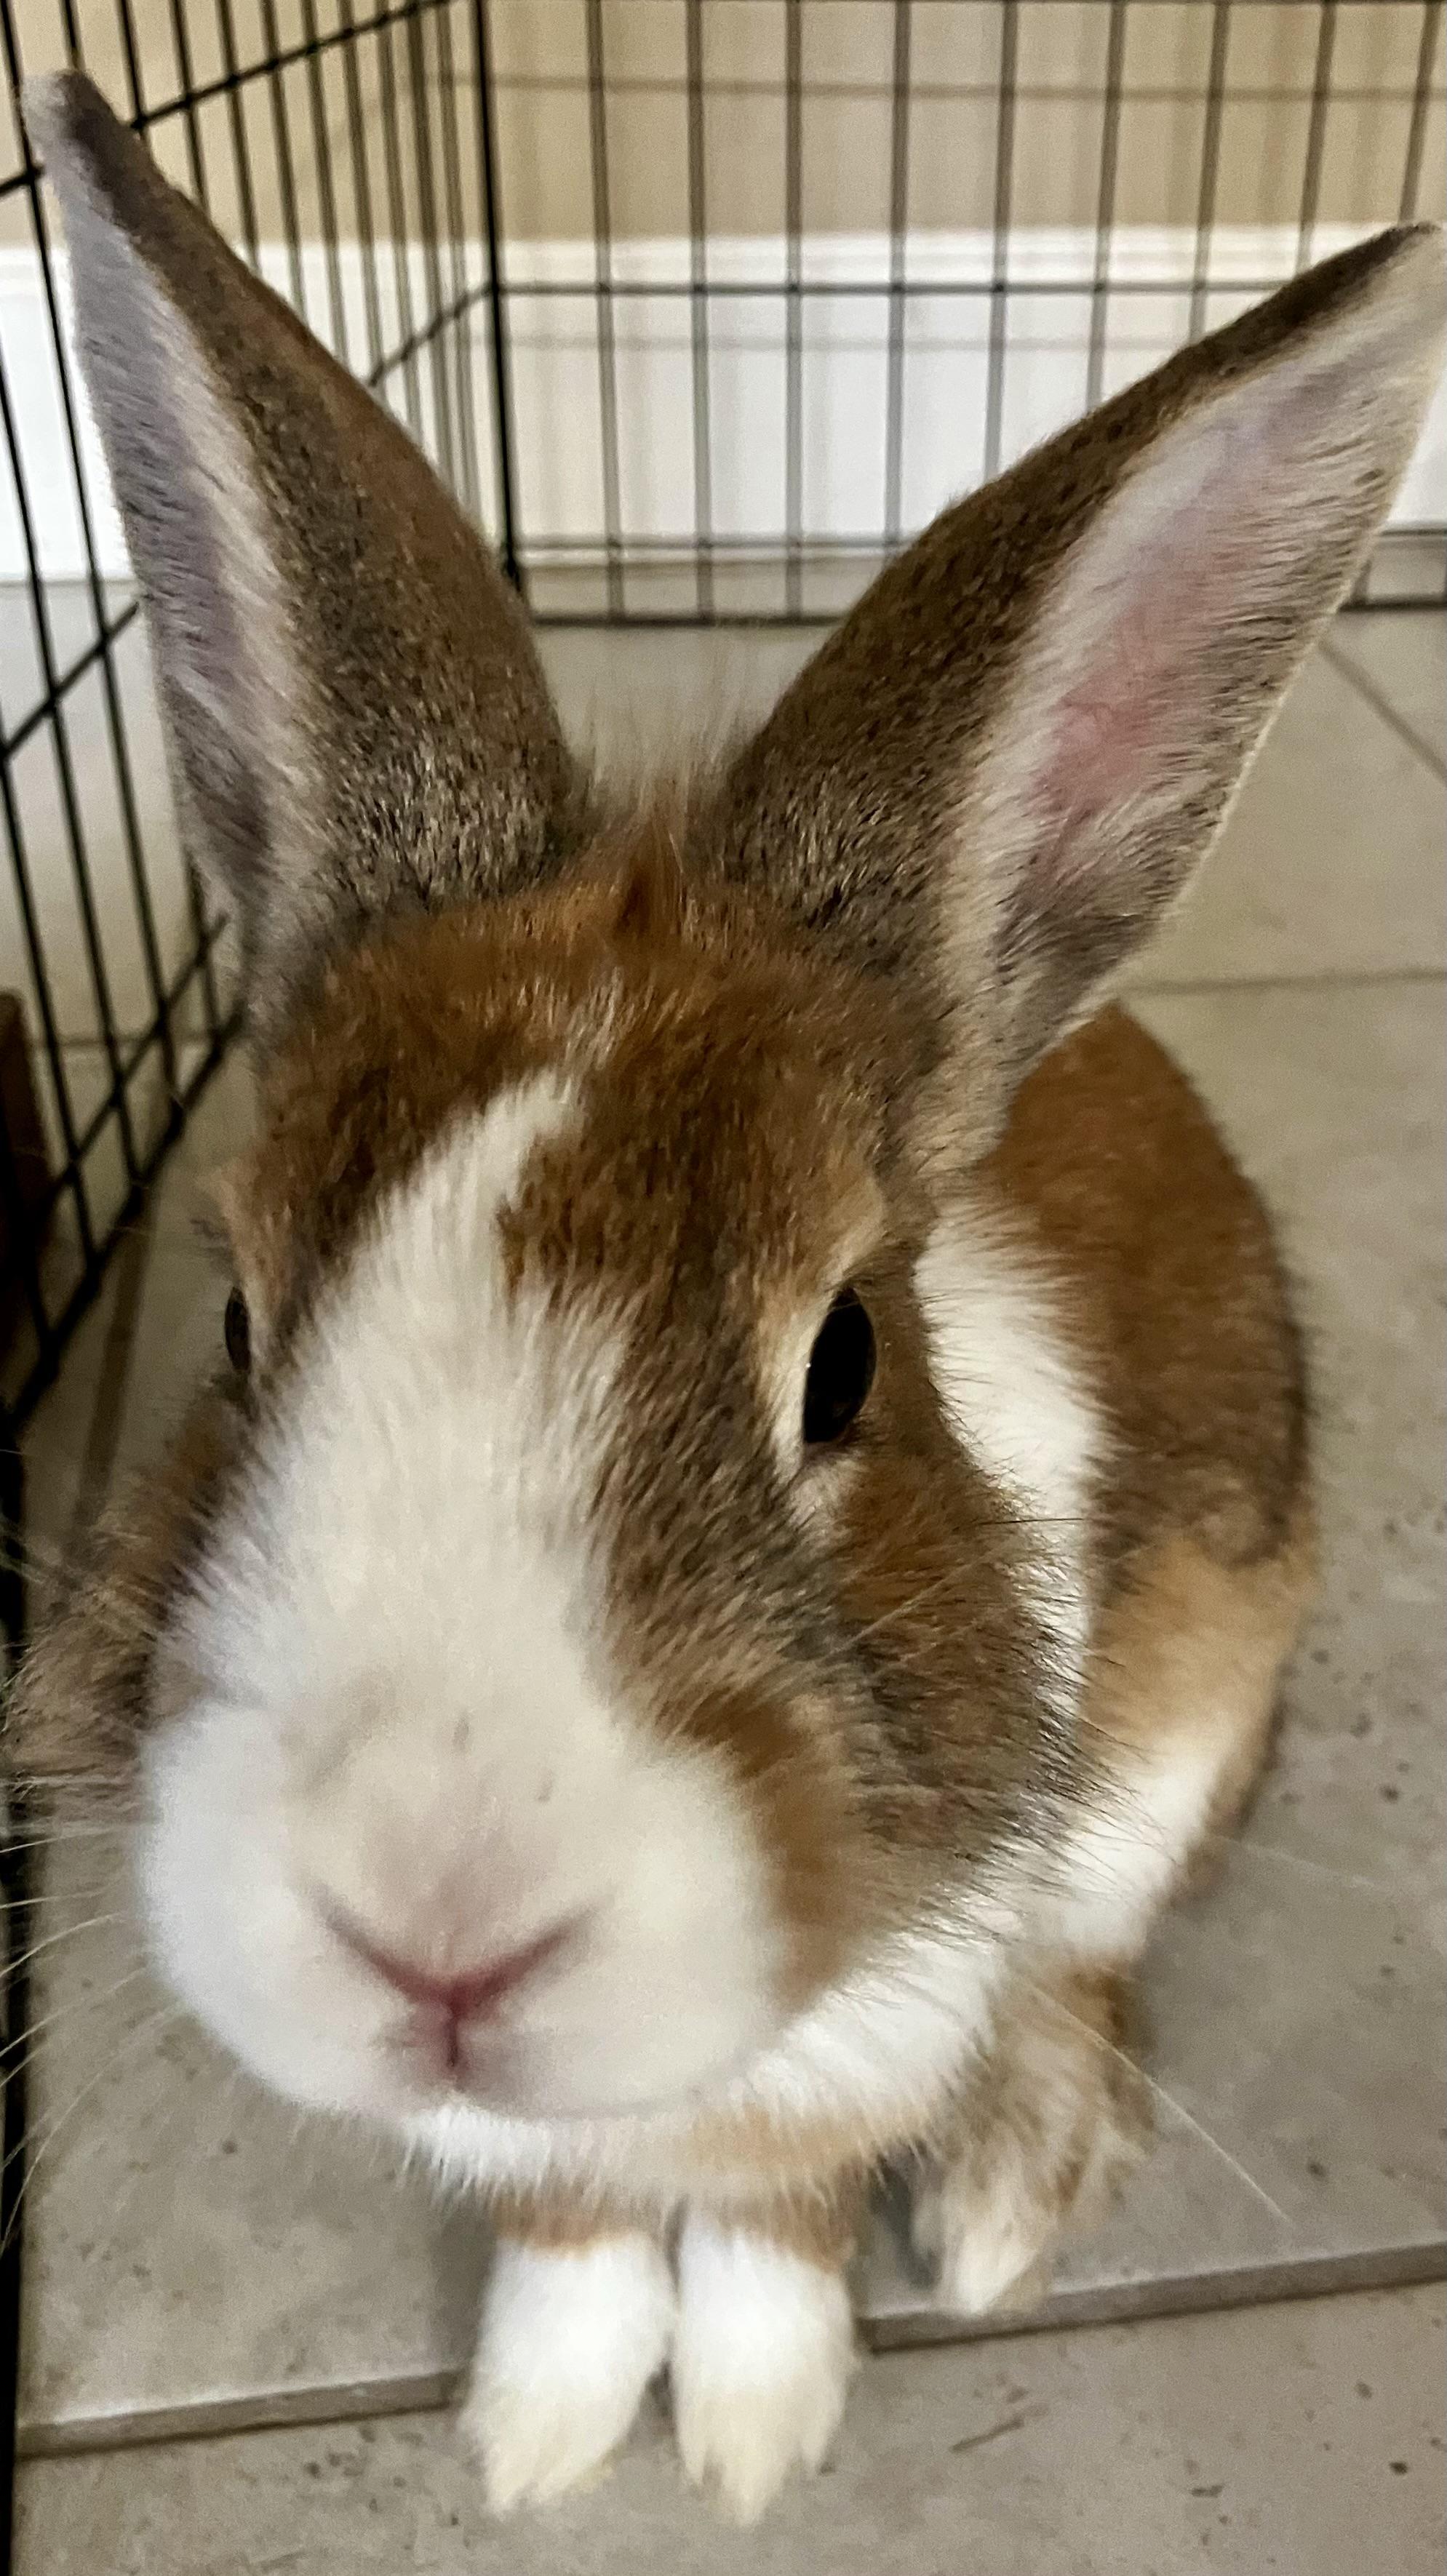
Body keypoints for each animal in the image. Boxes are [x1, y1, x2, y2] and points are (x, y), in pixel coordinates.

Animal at [11, 71, 1444, 2526]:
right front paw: (547, 2433)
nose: (435, 1927)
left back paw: (1002, 2193)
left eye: (842, 1356)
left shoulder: (876, 2007)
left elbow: (771, 2207)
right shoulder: (550, 2149)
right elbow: (585, 2220)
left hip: (1177, 1726)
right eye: (237, 1322)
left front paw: (757, 2433)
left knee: (1091, 1966)